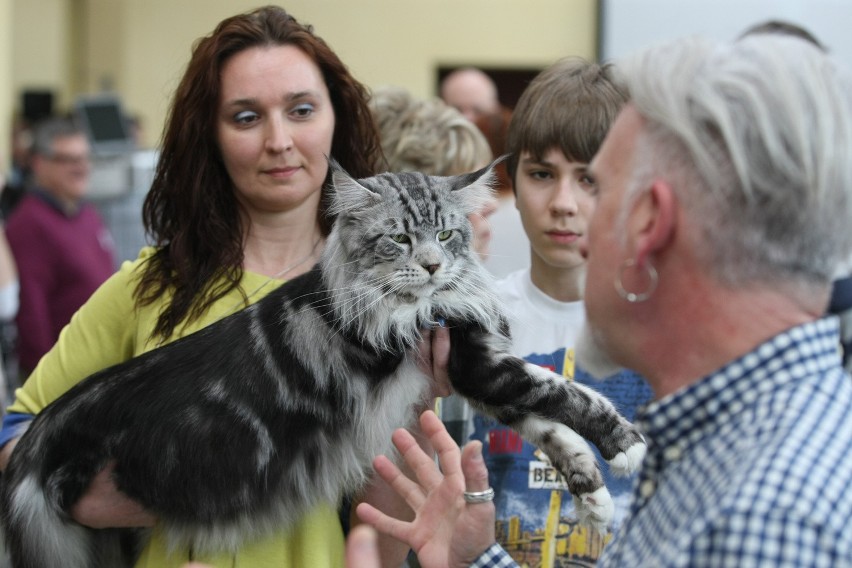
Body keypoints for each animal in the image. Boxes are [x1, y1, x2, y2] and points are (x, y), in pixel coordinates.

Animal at [0, 160, 644, 568]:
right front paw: (628, 446)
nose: (434, 266)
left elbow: (551, 430)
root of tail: (47, 426)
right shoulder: (478, 365)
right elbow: (568, 396)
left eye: (445, 235)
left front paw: (593, 495)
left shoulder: (478, 372)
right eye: (399, 240)